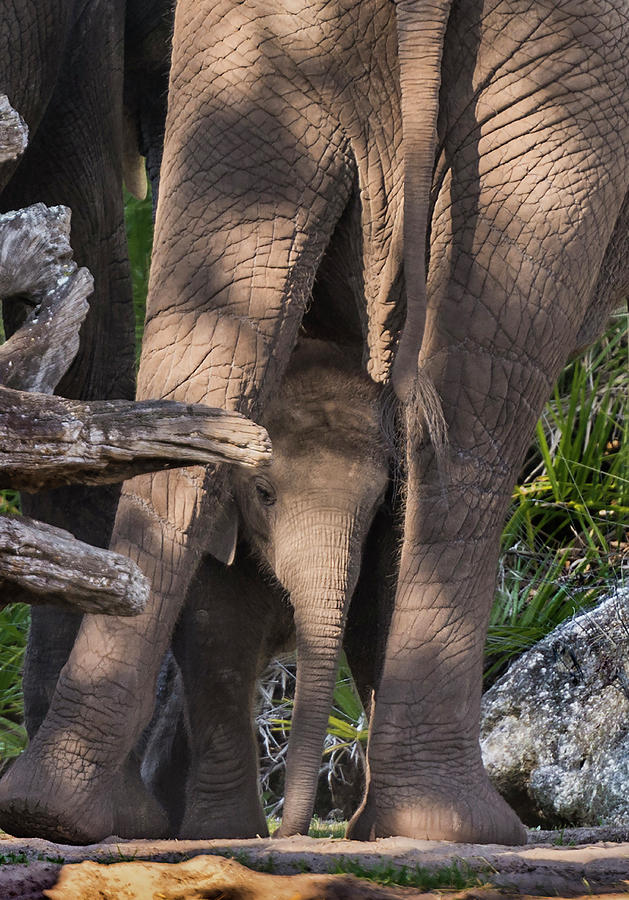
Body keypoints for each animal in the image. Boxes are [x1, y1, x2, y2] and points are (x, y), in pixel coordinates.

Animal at [172, 336, 394, 836]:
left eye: (377, 503)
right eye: (264, 493)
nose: (292, 832)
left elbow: (373, 632)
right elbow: (217, 639)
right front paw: (223, 833)